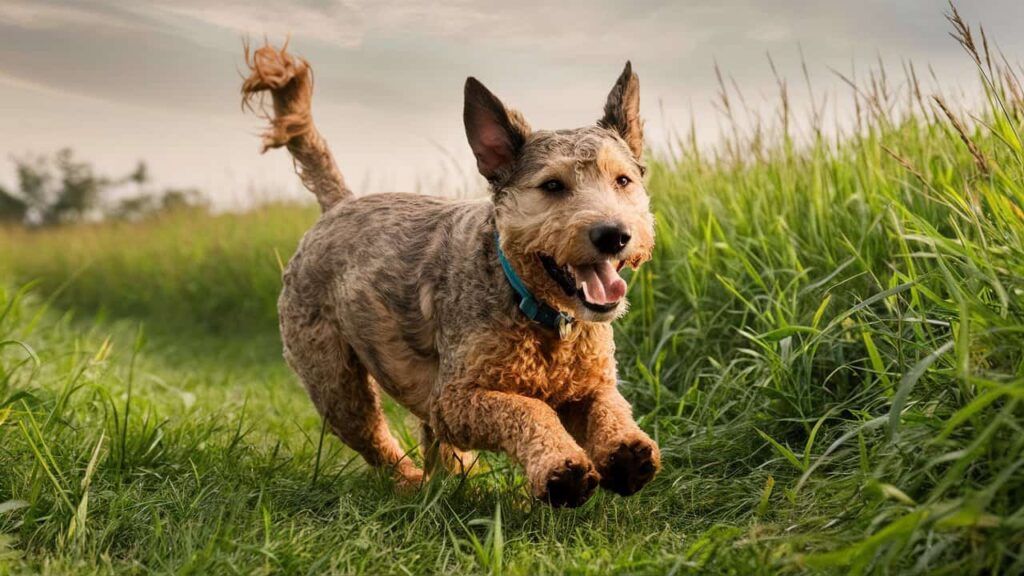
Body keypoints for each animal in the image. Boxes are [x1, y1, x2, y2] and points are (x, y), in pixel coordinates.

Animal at [242, 42, 659, 504]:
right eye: (552, 186)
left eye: (622, 180)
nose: (613, 234)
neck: (533, 306)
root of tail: (341, 203)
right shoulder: (456, 398)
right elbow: (528, 408)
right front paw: (562, 469)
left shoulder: (591, 382)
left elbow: (610, 405)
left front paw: (627, 452)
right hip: (336, 384)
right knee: (377, 440)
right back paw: (411, 482)